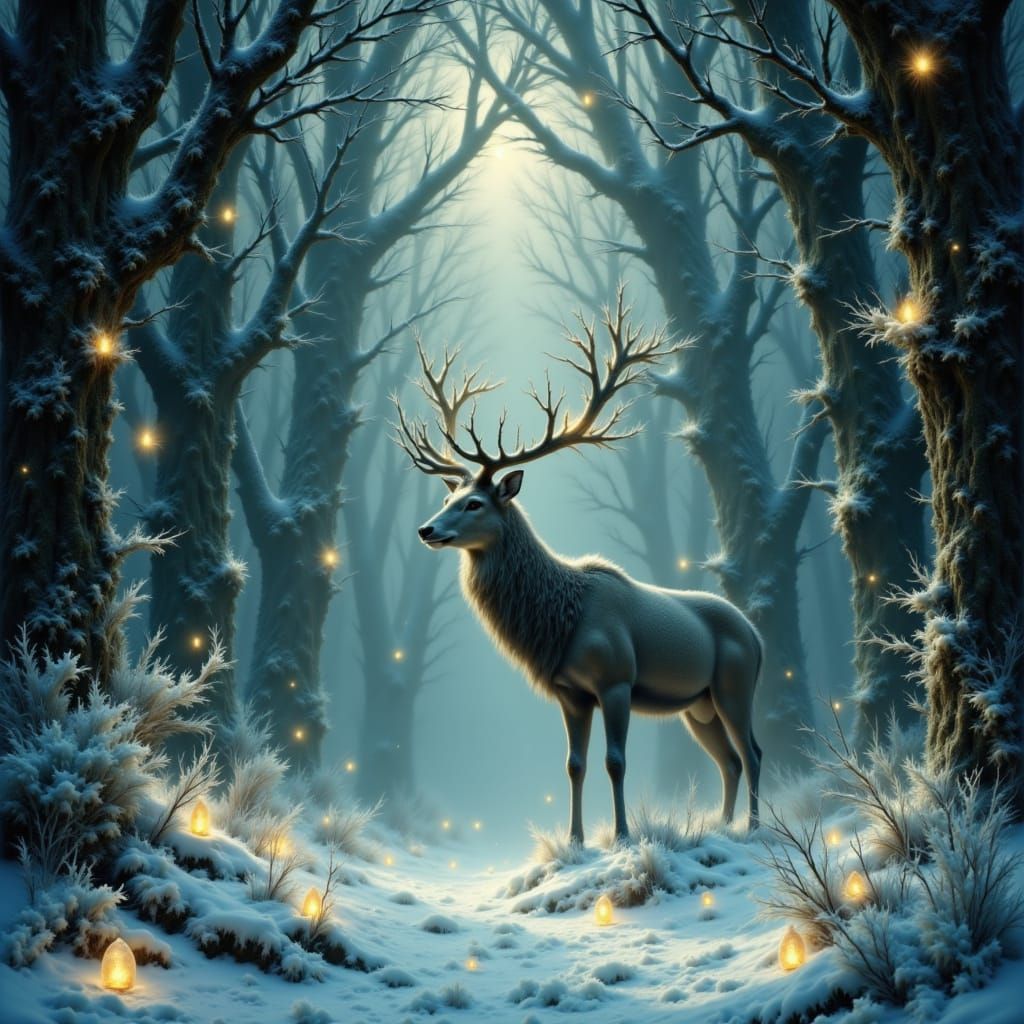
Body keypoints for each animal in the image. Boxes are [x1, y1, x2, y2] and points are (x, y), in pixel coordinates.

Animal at [395, 293, 764, 843]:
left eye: (475, 503)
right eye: (448, 497)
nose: (426, 530)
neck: (559, 622)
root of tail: (758, 635)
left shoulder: (616, 679)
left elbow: (615, 761)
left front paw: (623, 834)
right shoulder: (570, 693)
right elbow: (573, 764)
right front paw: (575, 838)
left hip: (734, 685)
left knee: (753, 752)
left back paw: (757, 828)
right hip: (698, 706)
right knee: (729, 761)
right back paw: (721, 826)